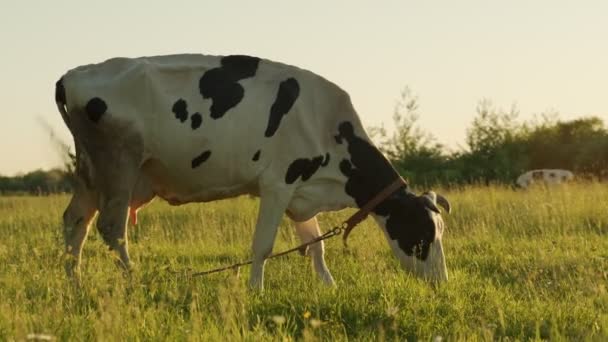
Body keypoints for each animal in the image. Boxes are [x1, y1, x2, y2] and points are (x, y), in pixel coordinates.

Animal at [55, 53, 452, 288]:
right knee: (112, 228)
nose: (442, 282)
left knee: (76, 221)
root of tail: (73, 74)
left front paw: (329, 287)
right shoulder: (278, 183)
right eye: (422, 235)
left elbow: (315, 245)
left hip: (92, 173)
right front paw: (255, 290)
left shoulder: (301, 191)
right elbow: (263, 246)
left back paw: (74, 283)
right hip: (118, 166)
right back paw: (134, 280)